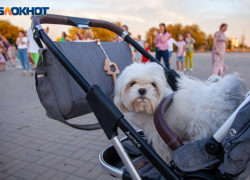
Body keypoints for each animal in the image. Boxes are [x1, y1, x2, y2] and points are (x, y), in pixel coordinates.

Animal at [114, 62, 247, 164]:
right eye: (132, 83)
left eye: (153, 84)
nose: (142, 90)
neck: (152, 108)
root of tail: (224, 96)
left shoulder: (159, 138)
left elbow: (163, 155)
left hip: (202, 130)